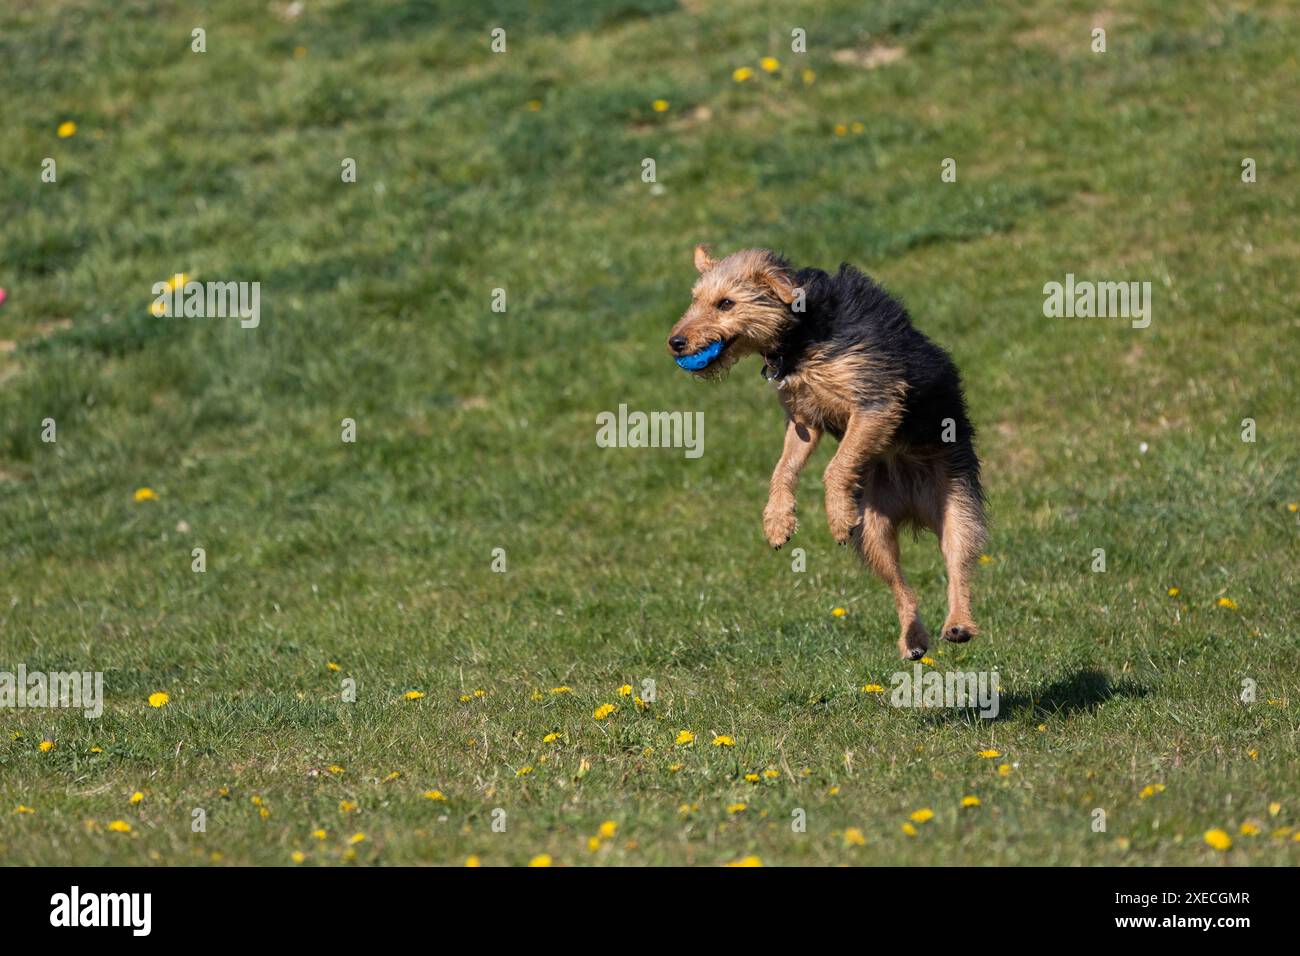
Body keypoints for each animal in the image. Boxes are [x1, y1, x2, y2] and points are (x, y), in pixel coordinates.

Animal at [670, 244, 982, 658]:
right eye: (695, 300)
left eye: (726, 303)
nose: (675, 342)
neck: (800, 334)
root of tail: (915, 507)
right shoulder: (804, 420)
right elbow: (783, 468)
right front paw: (777, 520)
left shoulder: (875, 403)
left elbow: (837, 465)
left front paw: (835, 514)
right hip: (873, 532)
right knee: (901, 587)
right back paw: (913, 639)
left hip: (956, 506)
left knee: (957, 566)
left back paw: (959, 623)